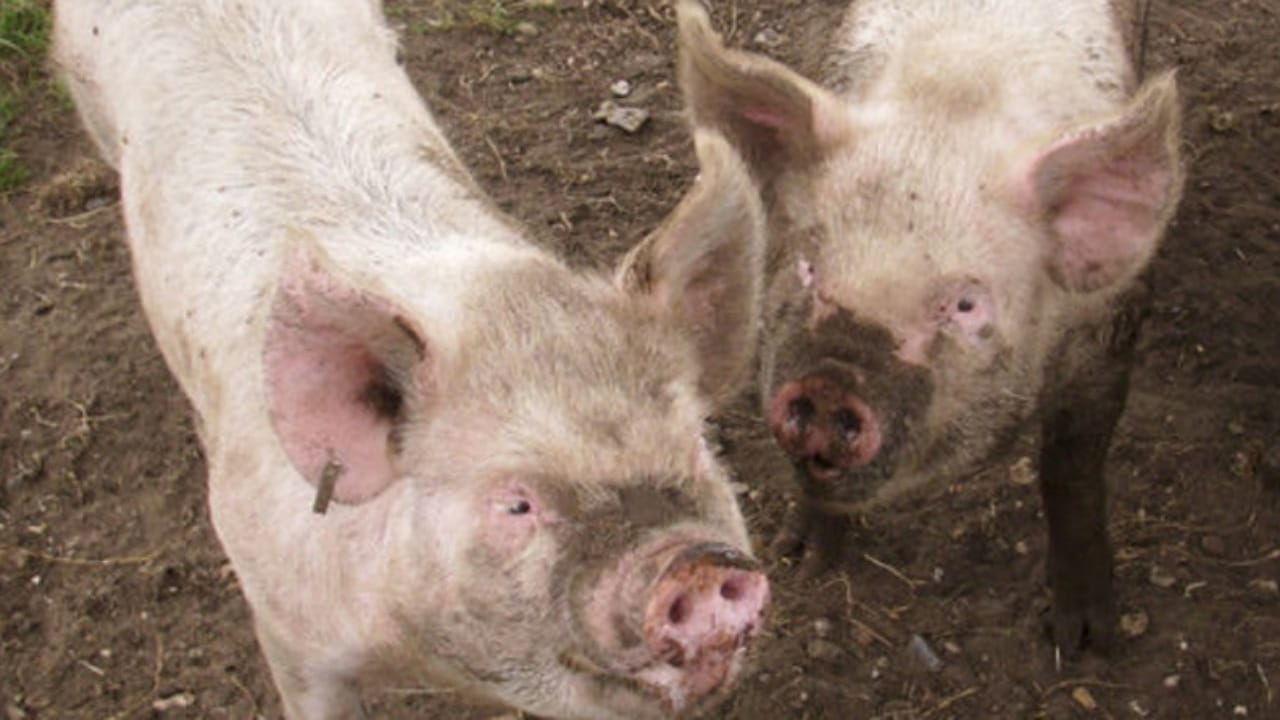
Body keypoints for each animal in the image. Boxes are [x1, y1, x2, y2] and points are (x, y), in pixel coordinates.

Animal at [674, 0, 1184, 656]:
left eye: (965, 305)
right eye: (809, 267)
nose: (830, 383)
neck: (954, 97)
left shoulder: (1108, 333)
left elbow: (1070, 469)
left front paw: (1083, 640)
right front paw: (801, 560)